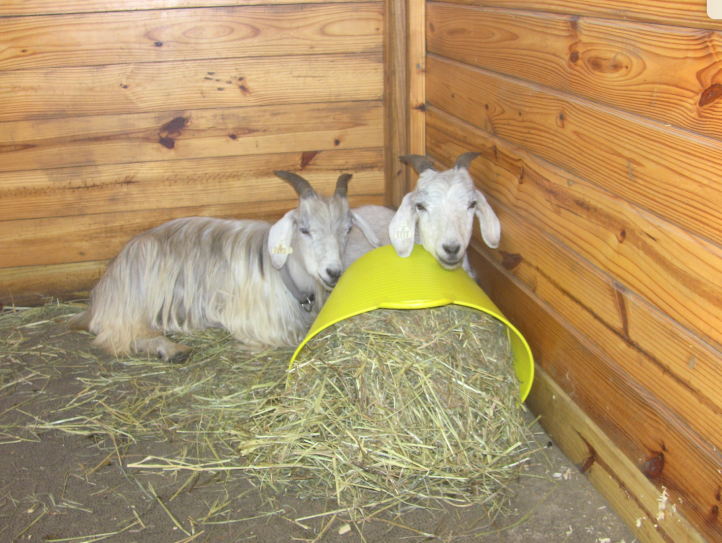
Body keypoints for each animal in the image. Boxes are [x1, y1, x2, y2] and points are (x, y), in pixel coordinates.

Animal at [68, 172, 380, 361]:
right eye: (304, 230)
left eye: (348, 229)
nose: (333, 272)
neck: (286, 275)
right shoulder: (257, 323)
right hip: (135, 298)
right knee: (118, 333)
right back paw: (170, 349)